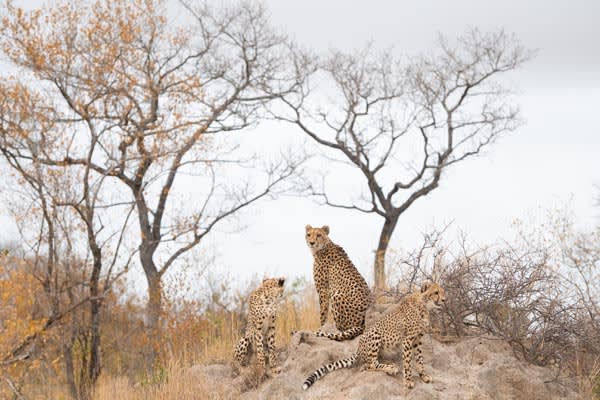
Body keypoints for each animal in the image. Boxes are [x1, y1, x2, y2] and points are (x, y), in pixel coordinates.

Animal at [302, 282, 442, 390]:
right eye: (436, 292)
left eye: (442, 292)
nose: (444, 300)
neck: (424, 306)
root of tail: (358, 348)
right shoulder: (407, 339)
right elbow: (407, 362)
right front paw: (408, 381)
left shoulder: (417, 339)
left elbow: (420, 359)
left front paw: (424, 376)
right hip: (375, 334)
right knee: (371, 365)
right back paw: (391, 368)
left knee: (367, 365)